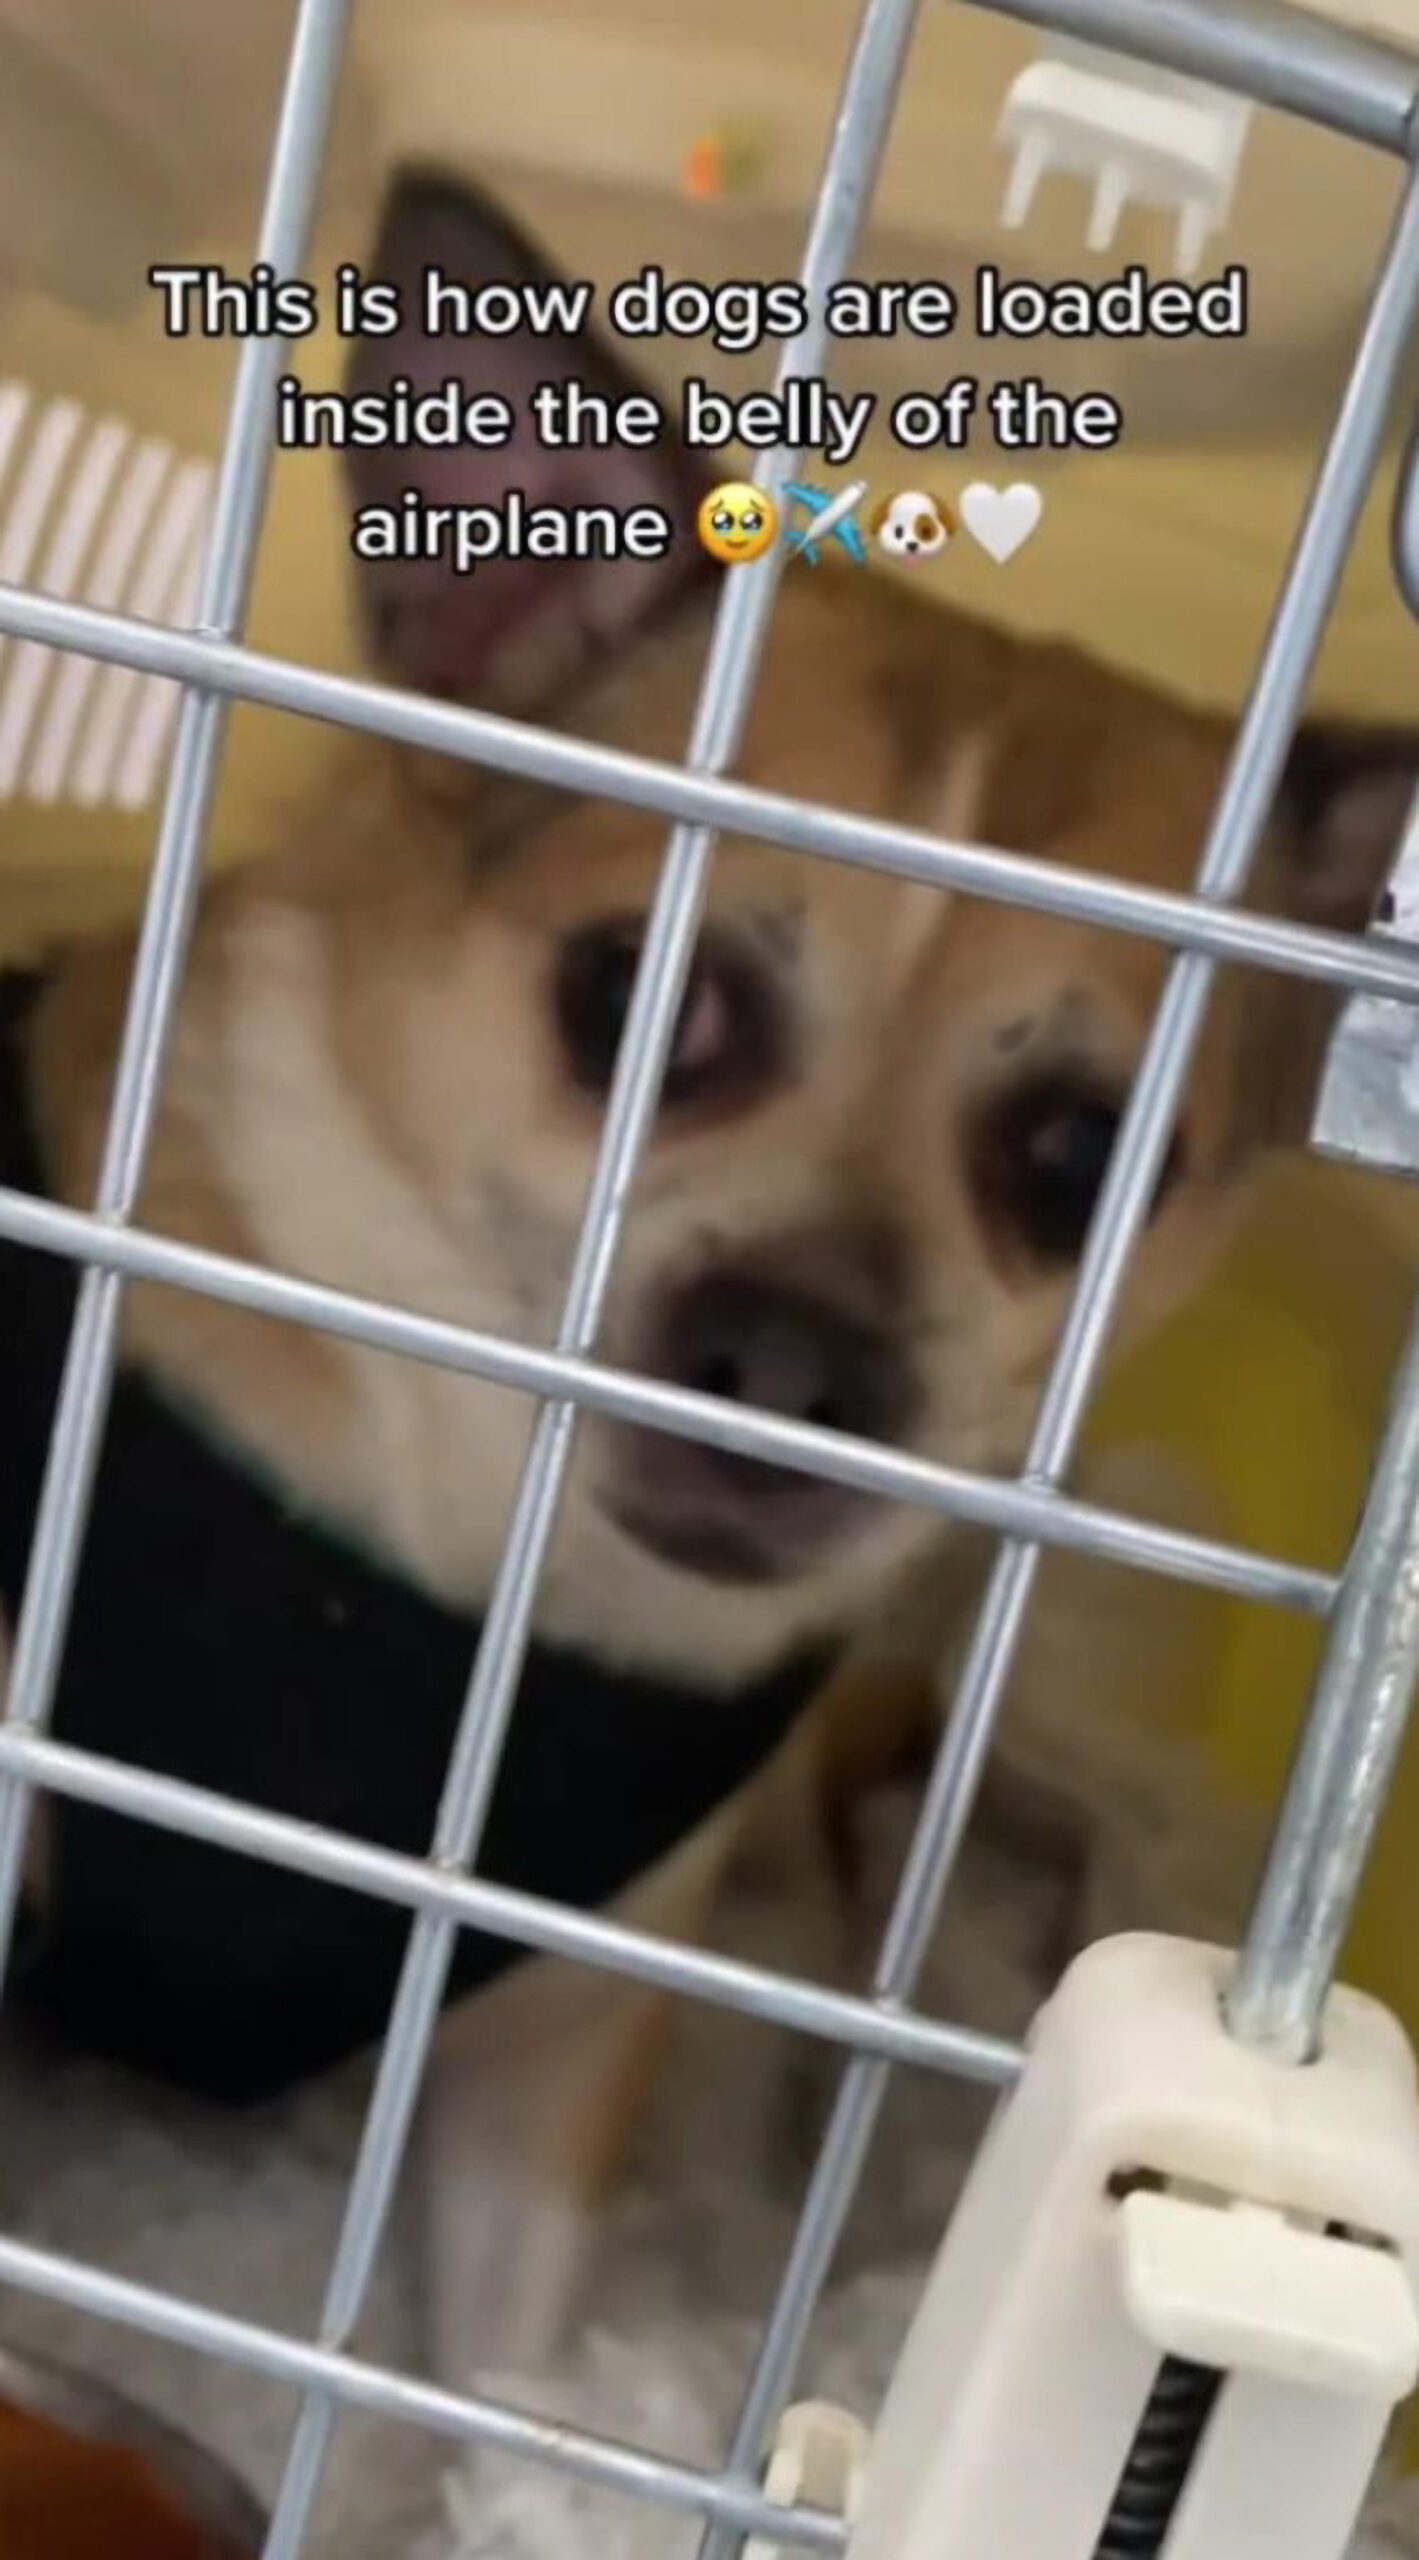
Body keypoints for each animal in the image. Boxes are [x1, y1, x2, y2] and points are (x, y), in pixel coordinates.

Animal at [0, 170, 1403, 2385]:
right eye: (634, 999)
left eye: (1083, 1162)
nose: (791, 1365)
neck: (475, 1557)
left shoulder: (562, 2033)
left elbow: (502, 2374)